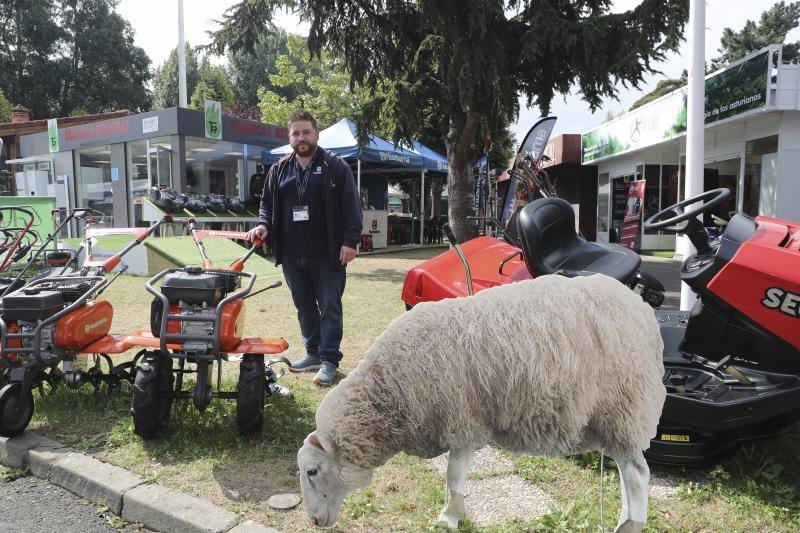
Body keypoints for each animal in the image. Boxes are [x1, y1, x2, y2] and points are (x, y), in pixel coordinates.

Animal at [296, 272, 664, 528]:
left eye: (312, 471)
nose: (314, 521)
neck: (390, 391)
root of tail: (641, 308)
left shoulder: (463, 421)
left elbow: (453, 475)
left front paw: (450, 517)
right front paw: (453, 514)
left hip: (626, 404)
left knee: (637, 474)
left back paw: (630, 526)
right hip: (615, 417)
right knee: (627, 471)